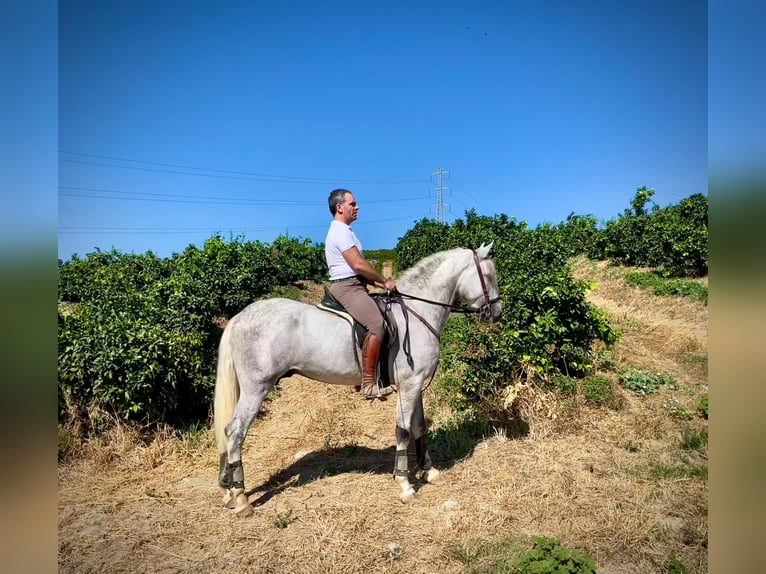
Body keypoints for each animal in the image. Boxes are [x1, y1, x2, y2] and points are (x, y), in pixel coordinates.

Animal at [216, 243, 504, 516]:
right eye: (489, 276)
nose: (497, 313)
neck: (417, 310)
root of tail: (239, 317)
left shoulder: (416, 384)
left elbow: (420, 427)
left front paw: (429, 470)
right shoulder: (409, 385)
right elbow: (403, 431)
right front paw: (405, 485)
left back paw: (228, 491)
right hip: (257, 389)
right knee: (235, 431)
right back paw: (241, 498)